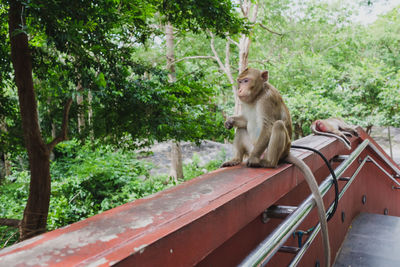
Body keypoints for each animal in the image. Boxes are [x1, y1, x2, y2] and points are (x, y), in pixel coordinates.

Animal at [222, 68, 332, 266]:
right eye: (239, 81)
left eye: (246, 80)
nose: (240, 90)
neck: (257, 97)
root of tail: (286, 152)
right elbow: (244, 122)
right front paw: (231, 121)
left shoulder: (267, 100)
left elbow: (268, 125)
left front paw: (252, 159)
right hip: (252, 145)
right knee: (242, 130)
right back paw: (235, 159)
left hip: (271, 150)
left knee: (278, 126)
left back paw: (264, 162)